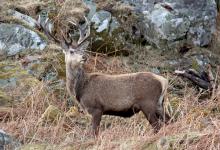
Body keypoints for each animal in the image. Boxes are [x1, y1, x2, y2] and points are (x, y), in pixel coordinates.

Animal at [42, 16, 170, 136]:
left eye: (82, 50)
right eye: (72, 51)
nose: (84, 57)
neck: (80, 88)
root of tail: (163, 81)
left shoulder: (96, 108)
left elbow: (94, 133)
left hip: (147, 103)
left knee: (157, 126)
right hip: (159, 103)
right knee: (168, 119)